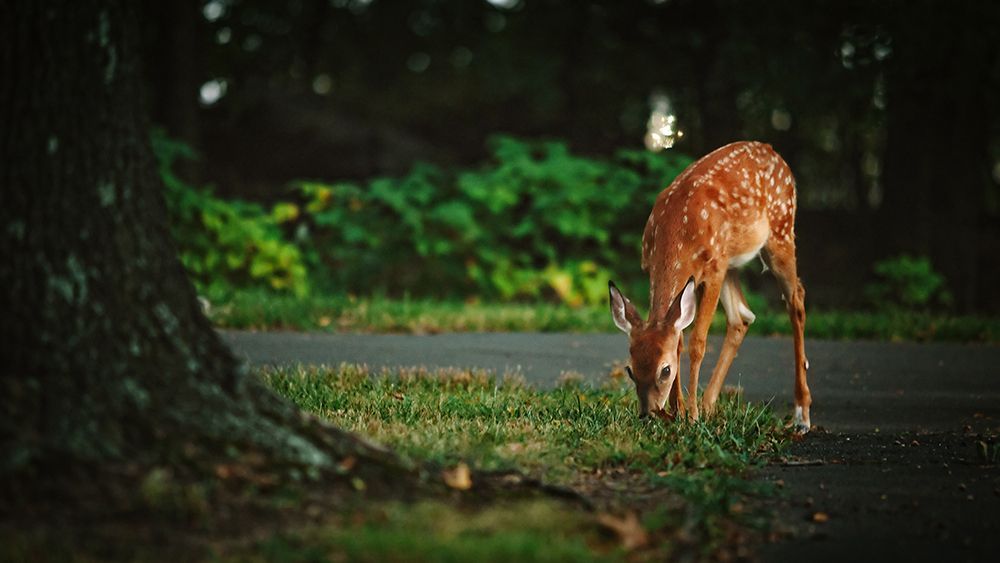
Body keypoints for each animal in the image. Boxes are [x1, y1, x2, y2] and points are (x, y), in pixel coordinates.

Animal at [608, 141, 811, 433]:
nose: (648, 414)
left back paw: (802, 414)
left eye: (665, 370)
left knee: (796, 300)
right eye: (630, 370)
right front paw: (679, 411)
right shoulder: (658, 268)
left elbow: (697, 342)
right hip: (732, 262)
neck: (676, 233)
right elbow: (678, 338)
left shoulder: (713, 270)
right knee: (742, 316)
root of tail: (772, 150)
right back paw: (708, 405)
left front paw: (690, 416)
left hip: (780, 231)